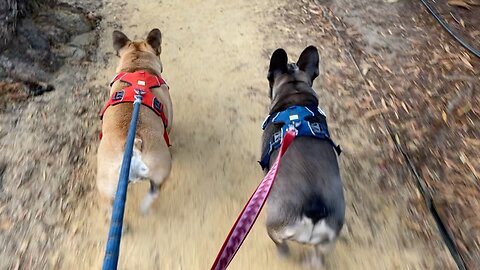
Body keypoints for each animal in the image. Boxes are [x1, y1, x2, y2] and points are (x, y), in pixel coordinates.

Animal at [96, 29, 173, 214]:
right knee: (155, 191)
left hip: (108, 186)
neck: (137, 67)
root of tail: (133, 146)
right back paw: (145, 208)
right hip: (161, 167)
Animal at [260, 46, 344, 268]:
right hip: (326, 243)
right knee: (318, 258)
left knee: (281, 245)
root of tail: (314, 208)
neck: (295, 95)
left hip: (275, 227)